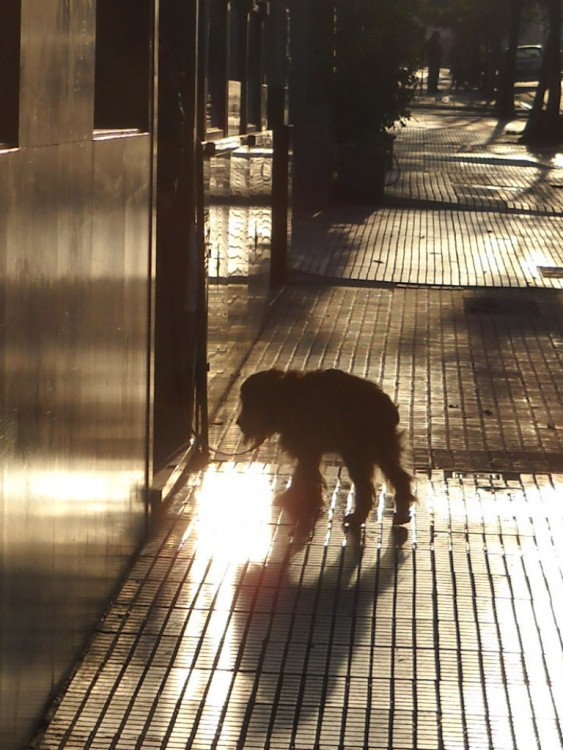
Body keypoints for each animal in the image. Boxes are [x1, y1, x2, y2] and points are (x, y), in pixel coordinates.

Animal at [236, 370, 416, 528]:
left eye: (248, 402)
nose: (238, 422)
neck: (285, 395)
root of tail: (385, 406)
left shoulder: (306, 447)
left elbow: (306, 473)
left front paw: (306, 499)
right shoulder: (308, 449)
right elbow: (304, 472)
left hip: (355, 450)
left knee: (365, 484)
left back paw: (357, 516)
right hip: (383, 447)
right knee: (399, 477)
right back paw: (401, 512)